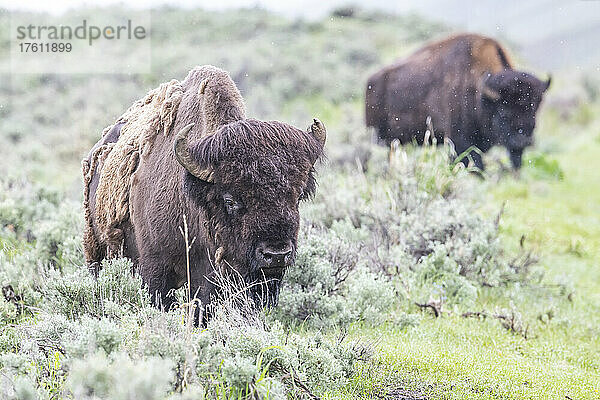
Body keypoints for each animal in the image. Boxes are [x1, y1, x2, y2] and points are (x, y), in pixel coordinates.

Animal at [364, 33, 552, 170]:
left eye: (534, 111)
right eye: (504, 112)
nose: (524, 141)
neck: (481, 92)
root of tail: (371, 81)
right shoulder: (460, 139)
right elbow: (473, 163)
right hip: (380, 136)